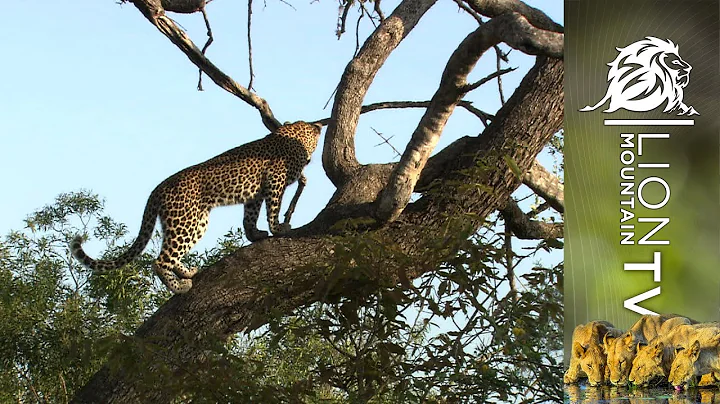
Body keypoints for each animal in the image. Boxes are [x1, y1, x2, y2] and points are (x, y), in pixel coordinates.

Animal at [70, 121, 323, 294]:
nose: (320, 125)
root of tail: (157, 190)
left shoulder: (256, 193)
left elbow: (250, 216)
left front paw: (255, 234)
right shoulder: (275, 180)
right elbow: (274, 208)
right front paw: (278, 228)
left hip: (194, 221)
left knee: (170, 255)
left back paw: (187, 272)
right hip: (185, 222)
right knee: (160, 261)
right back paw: (180, 287)